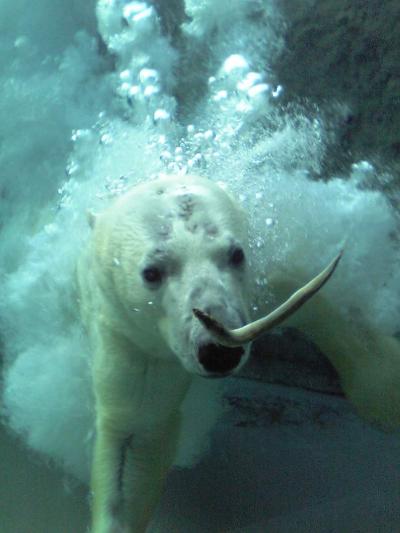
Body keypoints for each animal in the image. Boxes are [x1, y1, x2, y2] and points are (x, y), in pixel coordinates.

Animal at [77, 172, 400, 528]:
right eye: (151, 271)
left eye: (236, 254)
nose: (218, 350)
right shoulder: (131, 339)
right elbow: (135, 432)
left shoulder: (259, 292)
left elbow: (321, 304)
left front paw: (386, 396)